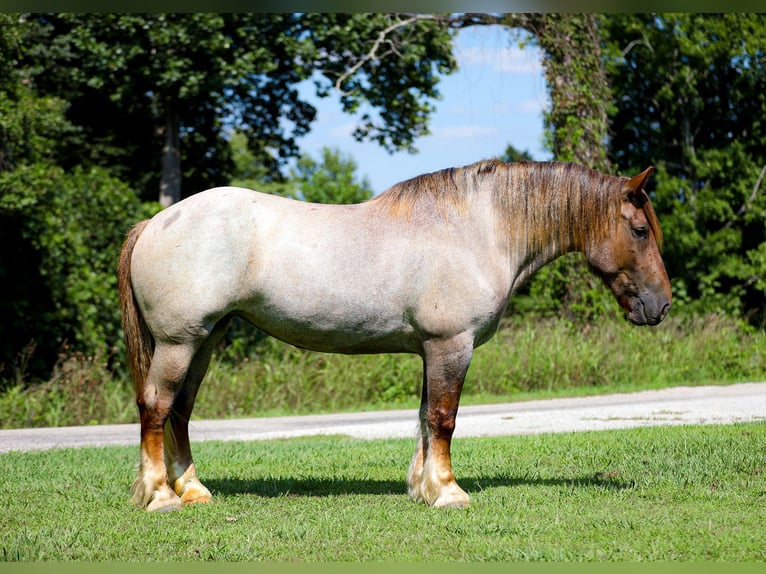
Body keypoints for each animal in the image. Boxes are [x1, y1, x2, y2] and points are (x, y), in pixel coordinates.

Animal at [118, 160, 671, 512]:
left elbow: (426, 418)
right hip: (179, 343)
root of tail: (156, 222)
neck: (479, 230)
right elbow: (444, 419)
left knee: (181, 411)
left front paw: (424, 488)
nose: (660, 305)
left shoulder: (431, 348)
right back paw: (161, 497)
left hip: (205, 341)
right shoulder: (451, 345)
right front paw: (448, 492)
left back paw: (193, 490)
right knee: (156, 408)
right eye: (640, 230)